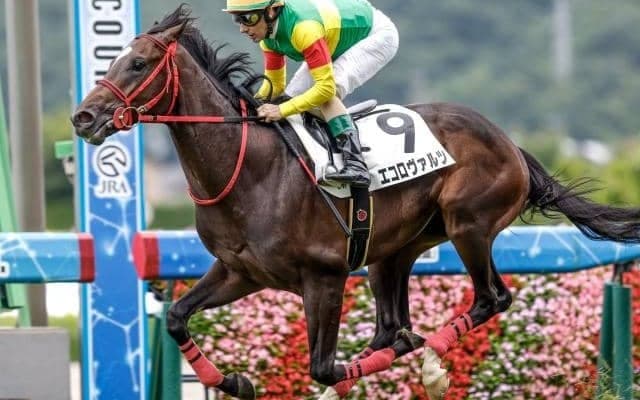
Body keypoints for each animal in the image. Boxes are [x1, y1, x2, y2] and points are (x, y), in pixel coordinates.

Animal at [71, 6, 640, 400]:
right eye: (114, 59)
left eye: (137, 63)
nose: (83, 117)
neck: (250, 169)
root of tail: (511, 144)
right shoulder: (240, 271)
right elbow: (176, 317)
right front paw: (235, 382)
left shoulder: (323, 276)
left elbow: (324, 366)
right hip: (394, 251)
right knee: (394, 326)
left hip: (469, 226)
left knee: (488, 300)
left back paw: (432, 365)